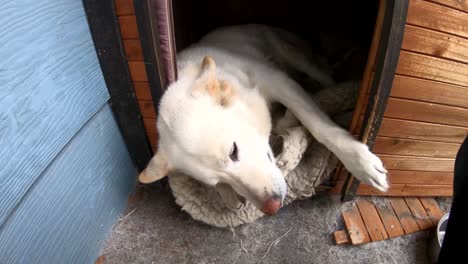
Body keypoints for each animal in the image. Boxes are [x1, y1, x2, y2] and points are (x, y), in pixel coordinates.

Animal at [139, 24, 388, 214]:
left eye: (233, 151)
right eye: (219, 182)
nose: (271, 208)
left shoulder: (279, 82)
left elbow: (316, 124)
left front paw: (359, 163)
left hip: (292, 54)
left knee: (324, 75)